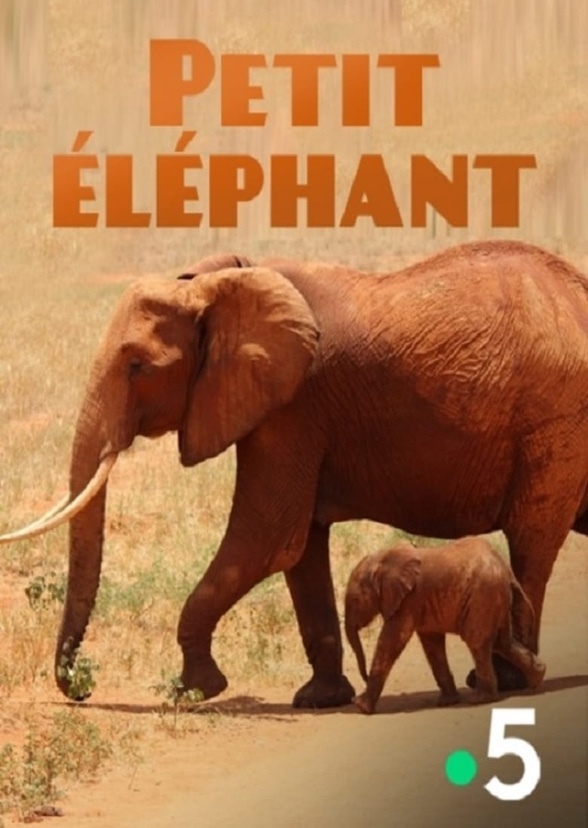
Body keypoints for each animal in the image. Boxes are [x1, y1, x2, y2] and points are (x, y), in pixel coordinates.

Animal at [344, 537, 546, 714]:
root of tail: (506, 570)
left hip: (483, 595)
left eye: (355, 600)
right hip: (496, 598)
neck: (383, 559)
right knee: (502, 642)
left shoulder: (410, 600)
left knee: (478, 642)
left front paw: (361, 707)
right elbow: (432, 645)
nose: (364, 678)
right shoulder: (420, 603)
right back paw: (538, 678)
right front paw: (448, 702)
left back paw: (481, 699)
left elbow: (392, 641)